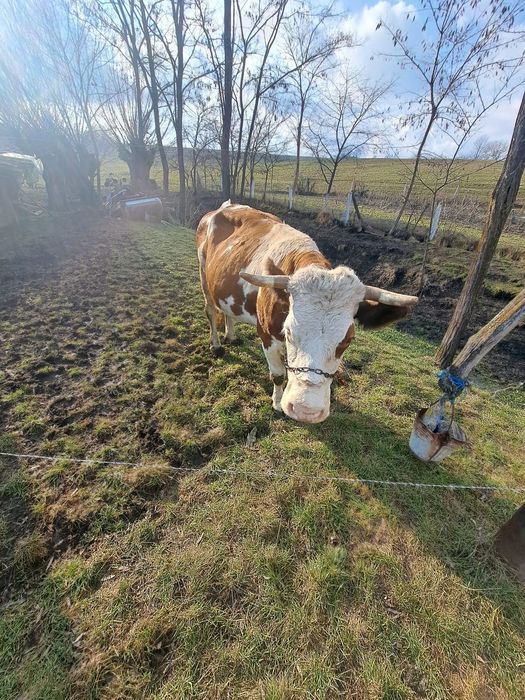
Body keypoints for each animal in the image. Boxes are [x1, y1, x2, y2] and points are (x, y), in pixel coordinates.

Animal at [196, 201, 418, 424]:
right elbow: (278, 374)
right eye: (289, 332)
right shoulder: (266, 335)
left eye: (348, 340)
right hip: (204, 275)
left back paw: (231, 336)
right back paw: (216, 345)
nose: (306, 411)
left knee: (227, 311)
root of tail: (226, 206)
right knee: (210, 311)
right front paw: (277, 404)